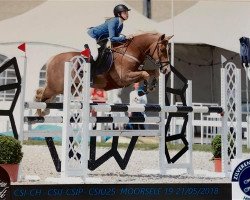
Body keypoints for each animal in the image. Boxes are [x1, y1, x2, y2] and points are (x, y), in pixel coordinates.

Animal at [34, 32, 172, 116]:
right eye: (162, 50)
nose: (166, 70)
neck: (130, 52)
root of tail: (52, 59)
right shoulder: (125, 78)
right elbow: (145, 74)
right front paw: (145, 89)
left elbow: (152, 72)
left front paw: (153, 84)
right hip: (55, 86)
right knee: (42, 95)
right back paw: (40, 112)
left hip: (68, 87)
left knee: (42, 93)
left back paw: (43, 111)